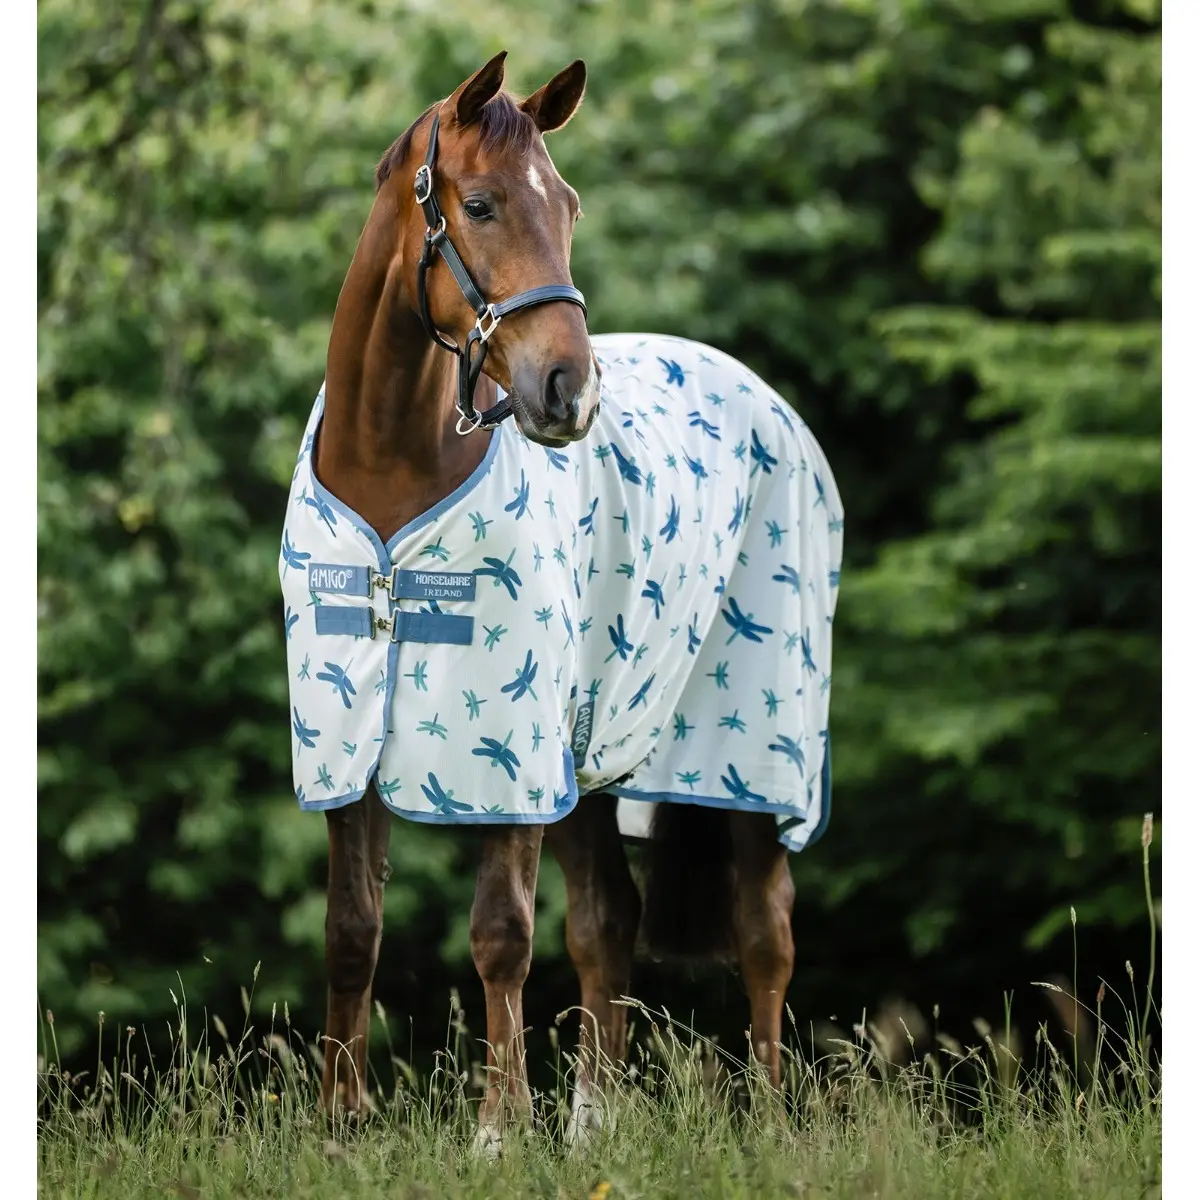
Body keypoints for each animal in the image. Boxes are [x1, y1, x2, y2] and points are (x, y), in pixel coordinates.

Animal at [278, 51, 844, 1152]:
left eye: (569, 205)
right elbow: (352, 931)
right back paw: (594, 1126)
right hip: (588, 760)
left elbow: (501, 934)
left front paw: (497, 1133)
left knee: (766, 934)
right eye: (481, 204)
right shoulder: (348, 744)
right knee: (606, 925)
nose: (567, 393)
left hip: (749, 768)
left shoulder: (512, 754)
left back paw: (765, 1125)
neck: (392, 474)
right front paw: (337, 1127)